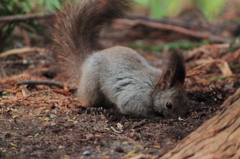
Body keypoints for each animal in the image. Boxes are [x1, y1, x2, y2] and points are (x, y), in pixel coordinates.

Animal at [52, 0, 189, 118]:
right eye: (169, 105)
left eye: (187, 101)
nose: (181, 117)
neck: (153, 88)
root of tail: (83, 67)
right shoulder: (135, 97)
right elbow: (133, 108)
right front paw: (155, 116)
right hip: (92, 83)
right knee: (88, 99)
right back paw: (94, 108)